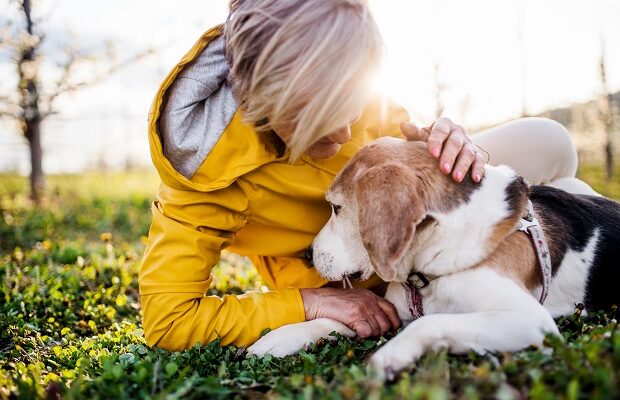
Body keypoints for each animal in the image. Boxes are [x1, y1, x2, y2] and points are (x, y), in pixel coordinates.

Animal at [247, 137, 620, 378]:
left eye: (336, 208)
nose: (308, 254)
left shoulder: (530, 320)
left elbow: (430, 321)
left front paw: (392, 354)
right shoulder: (393, 308)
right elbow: (330, 320)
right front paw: (278, 338)